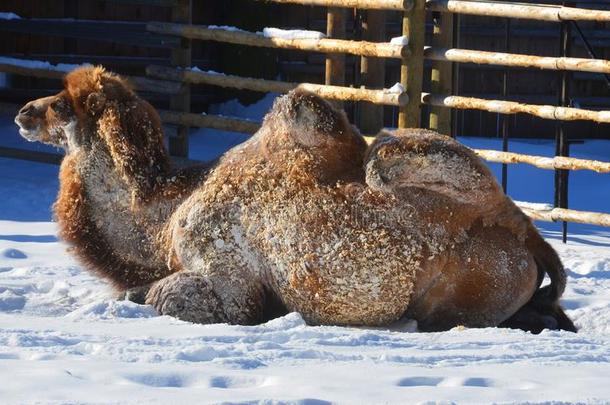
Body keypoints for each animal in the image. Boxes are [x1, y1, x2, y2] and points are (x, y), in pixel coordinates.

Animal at [14, 65, 576, 332]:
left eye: (62, 103)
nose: (23, 111)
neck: (163, 223)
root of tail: (528, 241)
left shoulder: (228, 279)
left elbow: (162, 297)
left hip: (415, 183)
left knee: (384, 162)